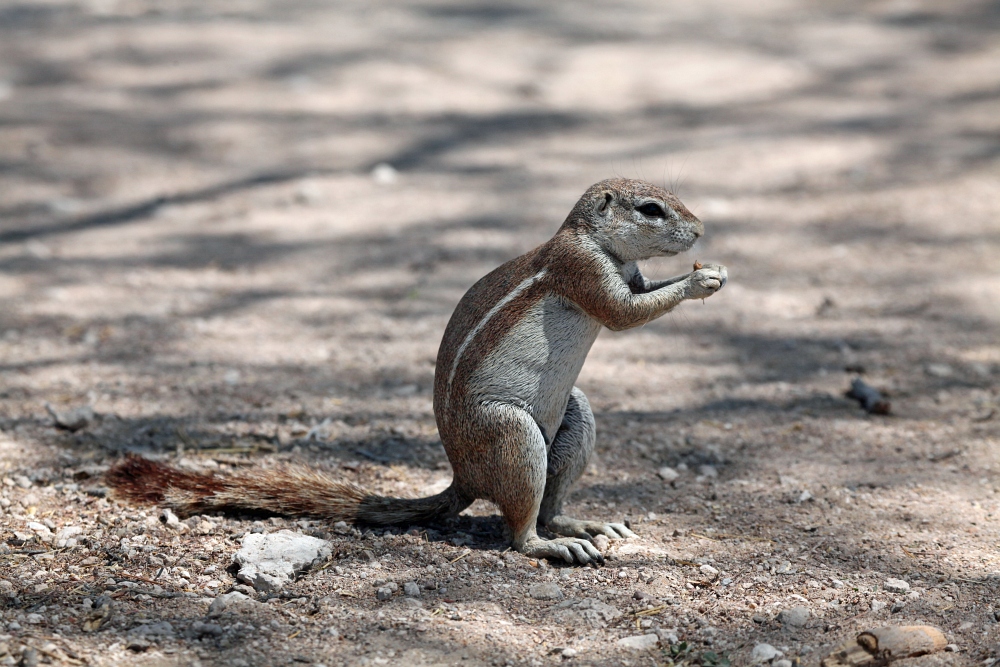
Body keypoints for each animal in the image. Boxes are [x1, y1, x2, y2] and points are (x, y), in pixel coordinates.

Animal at [107, 177, 728, 564]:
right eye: (651, 210)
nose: (700, 231)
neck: (596, 242)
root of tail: (466, 477)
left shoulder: (628, 273)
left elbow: (641, 293)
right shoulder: (584, 271)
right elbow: (624, 314)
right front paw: (701, 280)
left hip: (575, 416)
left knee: (551, 503)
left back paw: (581, 524)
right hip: (513, 433)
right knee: (518, 530)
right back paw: (550, 546)